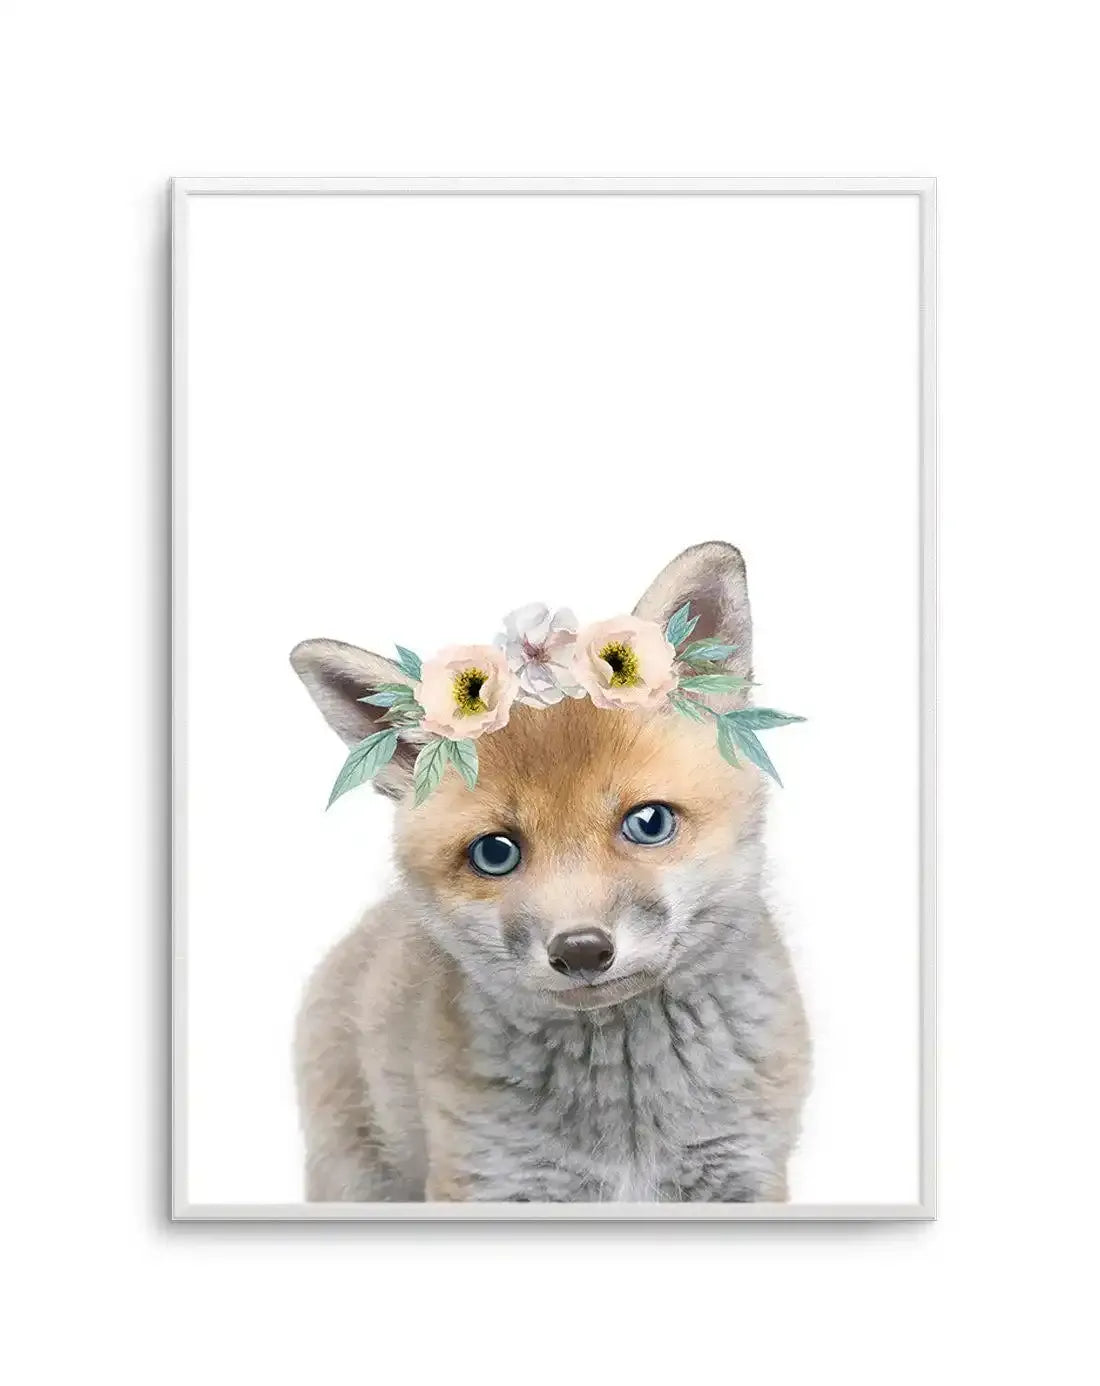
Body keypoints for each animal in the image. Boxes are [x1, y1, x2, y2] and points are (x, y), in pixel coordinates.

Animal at [290, 541, 810, 1203]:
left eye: (649, 822)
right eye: (495, 853)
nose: (582, 950)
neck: (628, 1119)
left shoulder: (744, 1172)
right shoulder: (492, 1179)